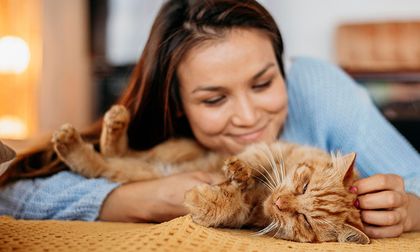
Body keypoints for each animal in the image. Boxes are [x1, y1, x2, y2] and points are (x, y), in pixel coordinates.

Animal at [51, 105, 368, 244]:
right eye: (303, 185)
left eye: (304, 220)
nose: (279, 203)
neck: (264, 193)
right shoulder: (269, 147)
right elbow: (251, 161)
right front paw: (238, 170)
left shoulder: (246, 214)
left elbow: (227, 204)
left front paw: (204, 198)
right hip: (172, 150)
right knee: (116, 150)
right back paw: (113, 121)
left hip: (138, 170)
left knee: (101, 162)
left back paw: (73, 142)